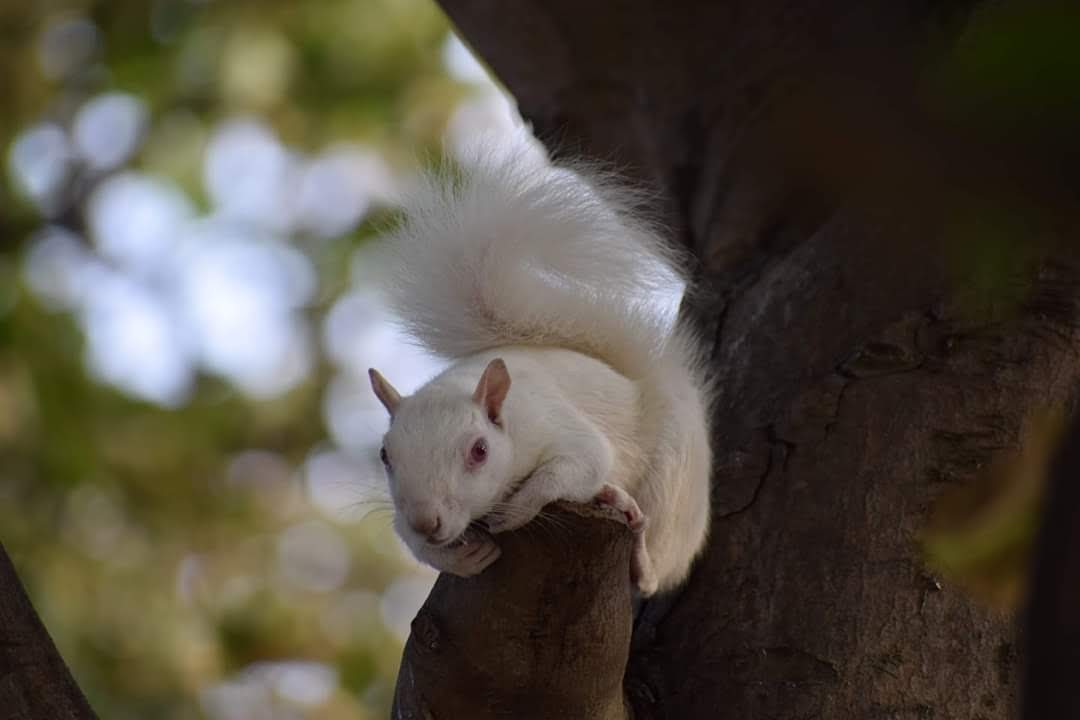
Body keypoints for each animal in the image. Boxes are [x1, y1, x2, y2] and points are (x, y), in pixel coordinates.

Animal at [366, 141, 712, 596]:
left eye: (479, 451)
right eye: (385, 455)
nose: (427, 521)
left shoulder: (559, 425)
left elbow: (576, 466)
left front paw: (516, 509)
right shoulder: (402, 512)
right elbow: (407, 538)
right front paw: (455, 557)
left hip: (670, 481)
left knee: (654, 563)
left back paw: (633, 537)